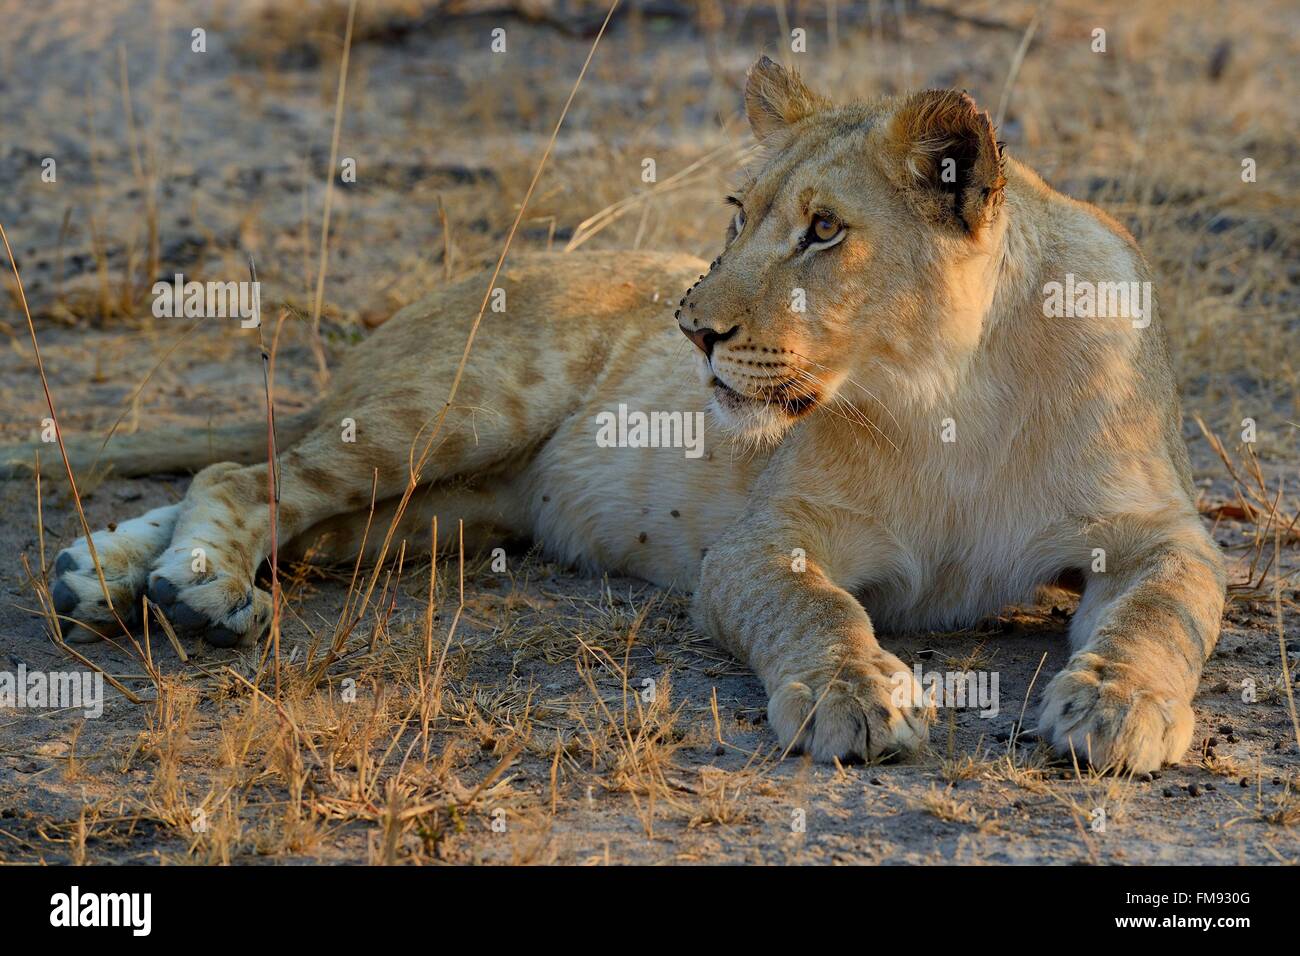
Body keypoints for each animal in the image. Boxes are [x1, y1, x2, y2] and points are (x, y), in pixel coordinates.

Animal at [10, 55, 1222, 775]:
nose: (693, 327)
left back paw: (112, 576)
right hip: (462, 407)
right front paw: (854, 696)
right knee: (250, 476)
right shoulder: (762, 543)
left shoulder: (1164, 532)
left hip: (442, 514)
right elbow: (819, 610)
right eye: (738, 212)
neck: (952, 390)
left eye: (826, 231)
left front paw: (1115, 709)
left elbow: (1162, 613)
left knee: (290, 511)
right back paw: (196, 591)